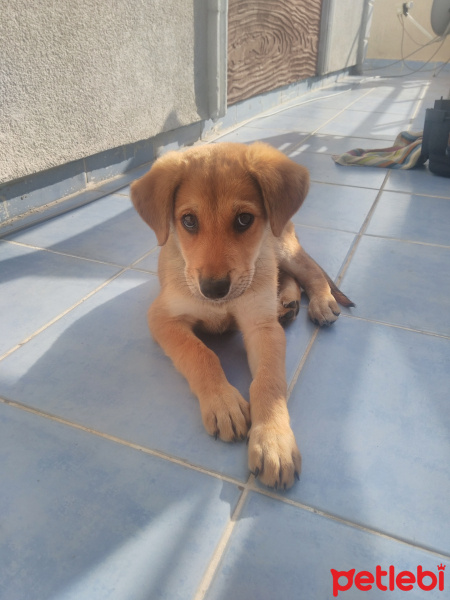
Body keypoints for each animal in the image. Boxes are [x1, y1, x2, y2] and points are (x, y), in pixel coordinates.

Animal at [132, 143, 354, 490]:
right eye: (189, 221)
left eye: (244, 219)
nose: (213, 289)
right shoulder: (163, 317)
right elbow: (200, 354)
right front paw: (222, 402)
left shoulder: (262, 327)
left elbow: (268, 382)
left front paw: (274, 442)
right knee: (286, 278)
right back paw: (286, 303)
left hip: (281, 246)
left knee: (310, 272)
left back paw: (320, 302)